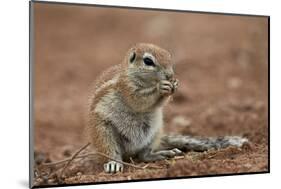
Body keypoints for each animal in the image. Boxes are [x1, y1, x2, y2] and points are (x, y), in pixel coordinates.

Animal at [86, 42, 247, 173]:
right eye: (148, 61)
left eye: (169, 56)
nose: (170, 75)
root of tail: (129, 152)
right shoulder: (127, 88)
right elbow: (138, 100)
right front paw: (160, 88)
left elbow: (158, 103)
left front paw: (175, 84)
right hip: (104, 133)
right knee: (111, 152)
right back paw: (113, 163)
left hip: (154, 132)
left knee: (143, 155)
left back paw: (160, 154)